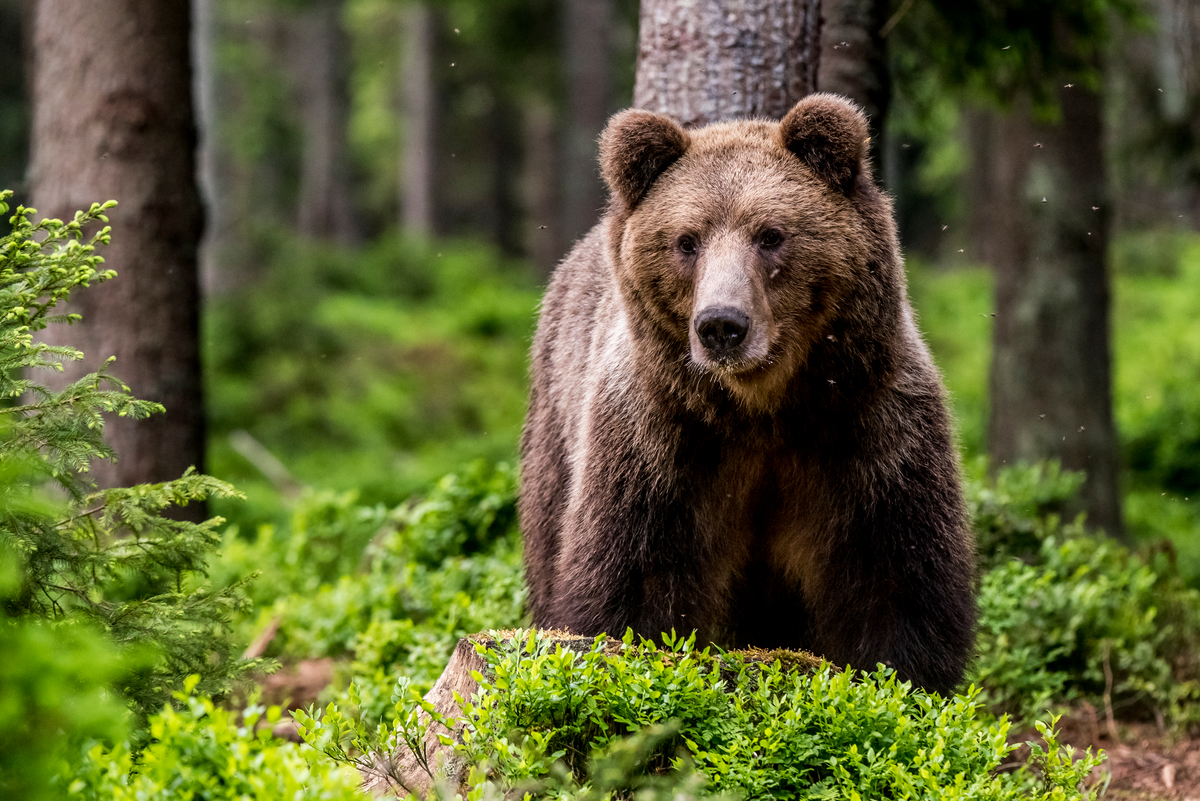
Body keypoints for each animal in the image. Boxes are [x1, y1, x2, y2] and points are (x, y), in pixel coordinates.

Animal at [518, 92, 974, 695]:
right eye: (687, 240)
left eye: (771, 234)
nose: (721, 325)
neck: (763, 411)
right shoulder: (662, 447)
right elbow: (634, 585)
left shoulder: (867, 431)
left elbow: (896, 582)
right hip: (557, 426)